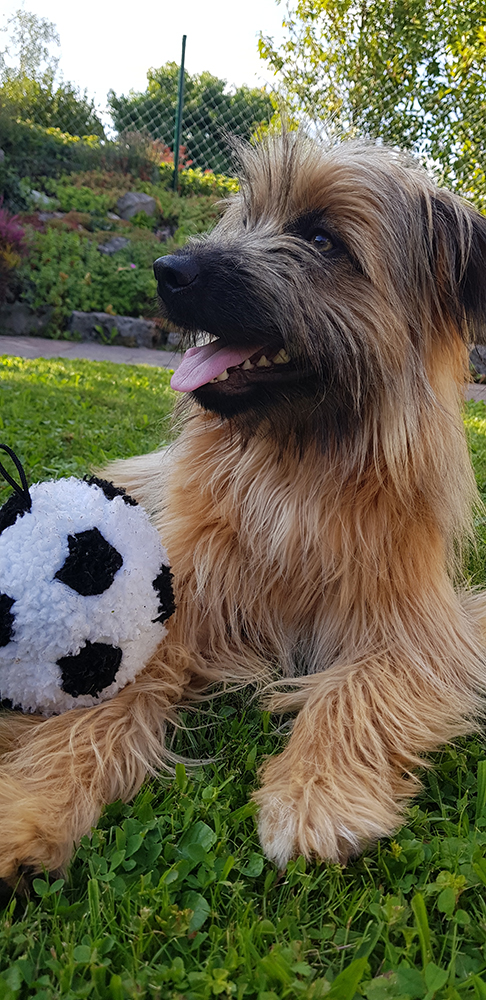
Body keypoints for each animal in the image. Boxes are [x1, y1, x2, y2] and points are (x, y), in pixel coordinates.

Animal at [1, 132, 486, 885]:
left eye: (321, 239)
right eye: (248, 218)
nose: (167, 270)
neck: (296, 468)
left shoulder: (426, 625)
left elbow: (364, 684)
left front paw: (316, 792)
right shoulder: (175, 599)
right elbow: (109, 688)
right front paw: (33, 800)